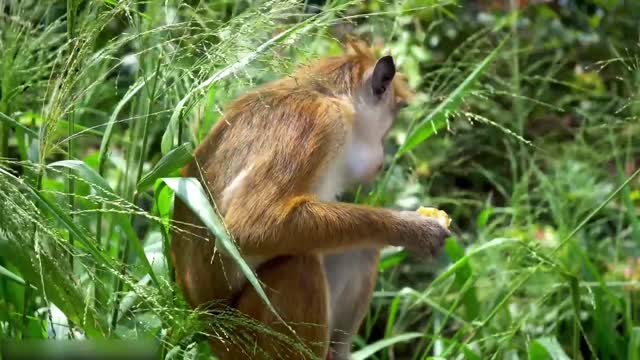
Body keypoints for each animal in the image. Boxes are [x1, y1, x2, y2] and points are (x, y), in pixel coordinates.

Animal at [170, 39, 450, 360]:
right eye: (396, 111)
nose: (382, 154)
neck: (327, 95)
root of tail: (205, 327)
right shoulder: (321, 123)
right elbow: (249, 227)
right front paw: (413, 228)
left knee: (359, 247)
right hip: (242, 338)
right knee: (299, 265)